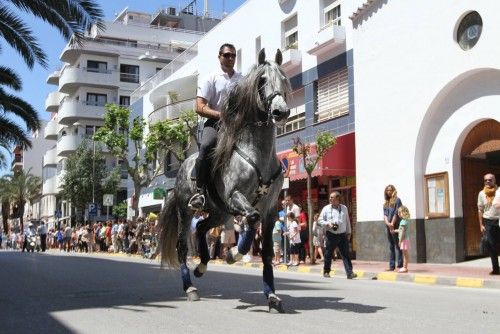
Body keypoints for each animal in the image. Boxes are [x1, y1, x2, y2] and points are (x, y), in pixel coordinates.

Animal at [161, 49, 290, 314]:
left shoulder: (270, 209)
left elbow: (267, 251)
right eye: (262, 80)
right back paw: (190, 288)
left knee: (202, 227)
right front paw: (233, 254)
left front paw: (272, 297)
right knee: (182, 245)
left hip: (220, 212)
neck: (257, 154)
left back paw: (202, 266)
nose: (280, 112)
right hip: (186, 211)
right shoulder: (236, 196)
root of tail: (181, 168)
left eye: (283, 78)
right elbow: (252, 219)